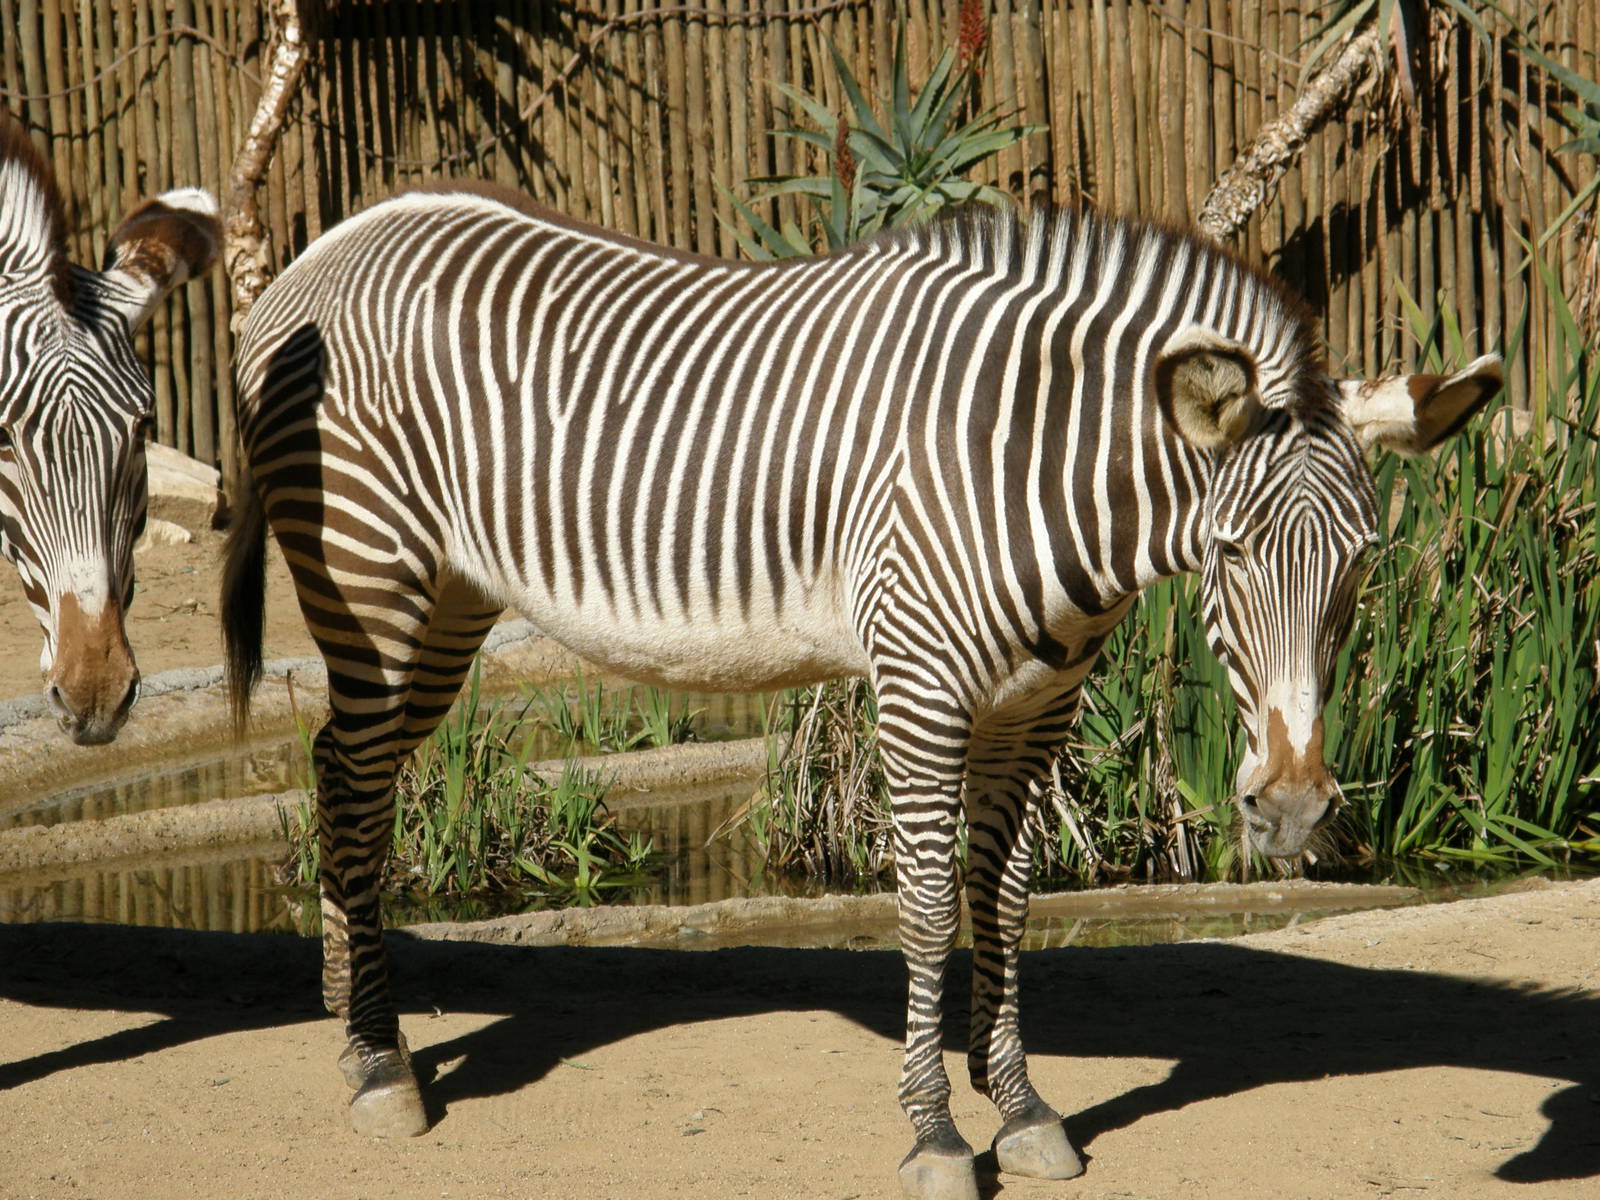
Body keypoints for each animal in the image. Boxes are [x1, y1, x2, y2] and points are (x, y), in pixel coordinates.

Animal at [222, 184, 1501, 1199]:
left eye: (1365, 560)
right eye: (1232, 555)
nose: (1289, 808)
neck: (1034, 468)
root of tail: (328, 242)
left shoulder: (1034, 704)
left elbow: (1008, 900)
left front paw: (1020, 1109)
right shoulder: (921, 686)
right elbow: (930, 908)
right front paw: (935, 1135)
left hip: (444, 600)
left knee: (345, 772)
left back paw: (350, 1026)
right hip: (371, 575)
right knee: (351, 779)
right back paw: (380, 1062)